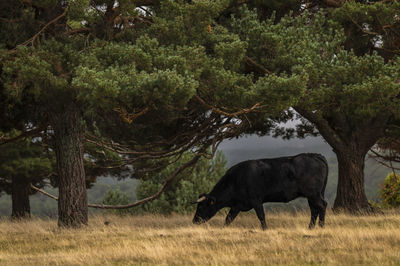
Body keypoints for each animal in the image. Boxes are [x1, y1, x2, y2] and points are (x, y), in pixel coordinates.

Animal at [194, 153, 328, 230]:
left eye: (201, 207)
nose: (194, 221)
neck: (236, 180)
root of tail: (315, 156)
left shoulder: (256, 200)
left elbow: (261, 216)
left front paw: (265, 229)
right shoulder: (237, 205)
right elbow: (228, 218)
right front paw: (223, 229)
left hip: (313, 194)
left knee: (322, 206)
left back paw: (321, 227)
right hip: (314, 195)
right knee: (314, 209)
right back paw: (310, 228)